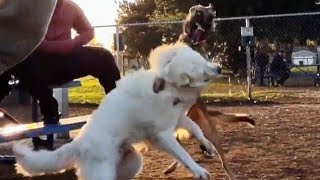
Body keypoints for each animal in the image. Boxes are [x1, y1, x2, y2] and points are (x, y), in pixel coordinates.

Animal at [11, 42, 218, 180]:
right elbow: (184, 154)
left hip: (132, 162)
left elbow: (197, 129)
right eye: (201, 68)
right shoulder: (163, 135)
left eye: (203, 58)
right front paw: (199, 171)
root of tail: (79, 143)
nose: (218, 67)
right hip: (103, 172)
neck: (165, 88)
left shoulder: (178, 118)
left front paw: (209, 146)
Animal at [164, 4, 256, 180]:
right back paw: (172, 167)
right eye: (197, 12)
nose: (208, 20)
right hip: (180, 132)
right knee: (180, 151)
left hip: (212, 135)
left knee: (222, 161)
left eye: (211, 14)